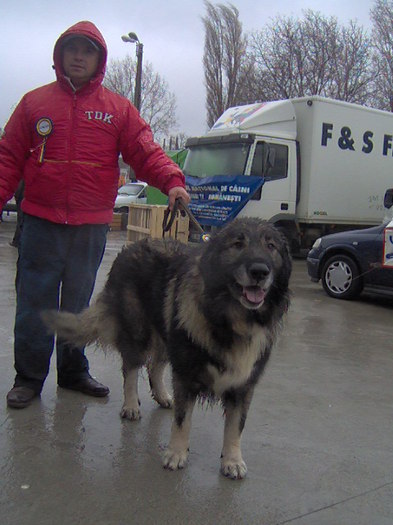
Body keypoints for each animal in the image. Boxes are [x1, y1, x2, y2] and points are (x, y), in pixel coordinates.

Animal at [45, 217, 290, 478]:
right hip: (139, 332)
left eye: (271, 246)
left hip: (165, 333)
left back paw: (162, 397)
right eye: (237, 244)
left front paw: (232, 460)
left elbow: (236, 426)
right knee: (131, 369)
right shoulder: (185, 374)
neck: (230, 321)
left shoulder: (243, 384)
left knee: (154, 367)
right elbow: (182, 420)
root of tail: (130, 248)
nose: (259, 271)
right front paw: (176, 453)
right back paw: (130, 405)